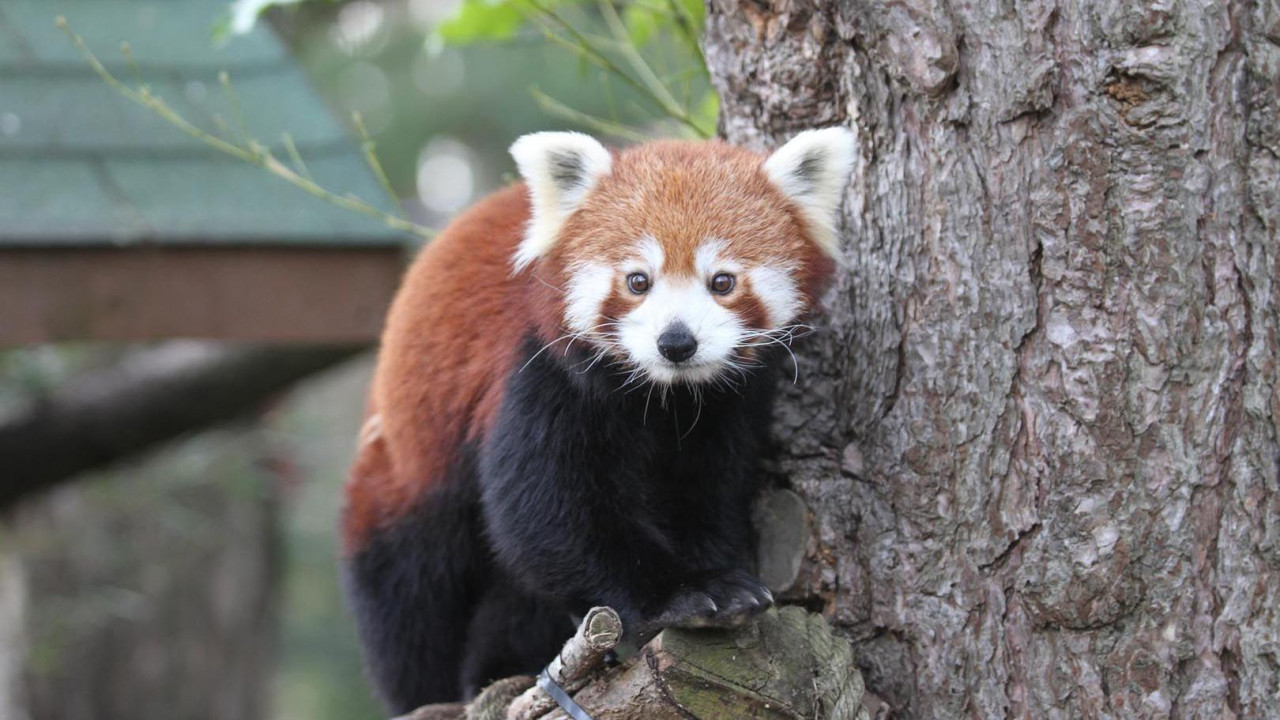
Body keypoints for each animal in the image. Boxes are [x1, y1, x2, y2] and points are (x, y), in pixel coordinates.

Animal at [345, 127, 855, 707]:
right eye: (638, 281)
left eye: (722, 282)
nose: (676, 342)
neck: (663, 396)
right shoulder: (539, 371)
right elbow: (546, 511)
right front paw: (684, 593)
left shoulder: (725, 410)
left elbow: (705, 493)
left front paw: (713, 572)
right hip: (406, 472)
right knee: (410, 593)